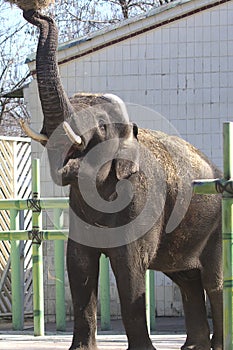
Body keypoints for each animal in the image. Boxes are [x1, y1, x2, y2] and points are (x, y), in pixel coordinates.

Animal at [22, 9, 224, 350]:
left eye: (101, 126)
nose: (35, 13)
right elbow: (78, 264)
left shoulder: (142, 201)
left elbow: (129, 267)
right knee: (186, 277)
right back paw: (193, 347)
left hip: (217, 222)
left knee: (213, 281)